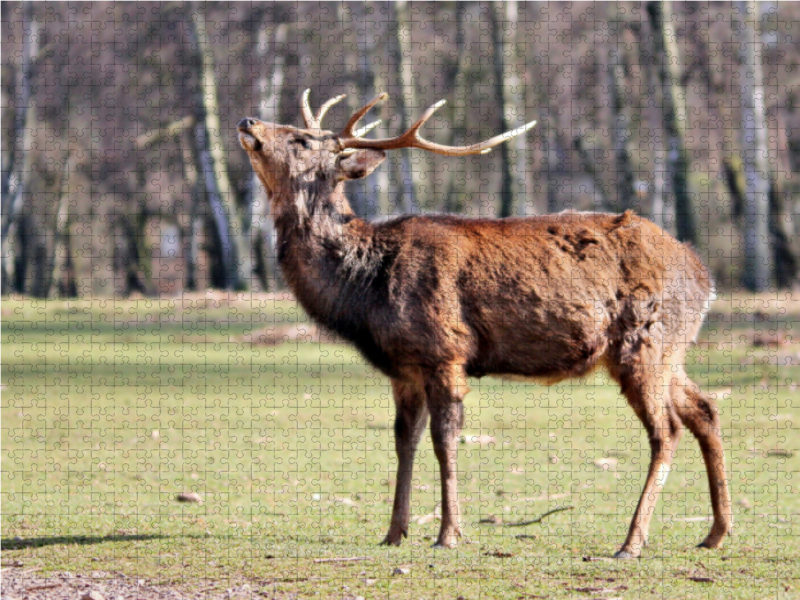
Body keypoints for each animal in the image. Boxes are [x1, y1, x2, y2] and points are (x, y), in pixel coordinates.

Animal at [238, 89, 732, 556]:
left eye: (303, 141)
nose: (248, 120)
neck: (365, 286)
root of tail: (705, 276)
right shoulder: (404, 367)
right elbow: (403, 441)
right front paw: (394, 533)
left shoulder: (445, 350)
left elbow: (445, 440)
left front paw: (449, 533)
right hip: (670, 350)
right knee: (704, 409)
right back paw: (715, 533)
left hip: (645, 341)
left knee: (666, 430)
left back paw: (632, 540)